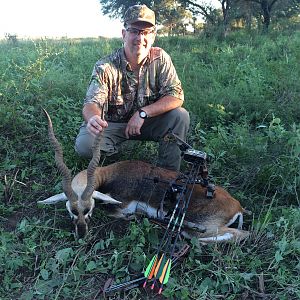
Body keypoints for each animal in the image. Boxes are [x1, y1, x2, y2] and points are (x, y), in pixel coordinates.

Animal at [39, 109, 251, 243]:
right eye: (71, 209)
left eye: (89, 208)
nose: (81, 234)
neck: (111, 174)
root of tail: (237, 206)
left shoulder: (123, 206)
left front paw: (135, 217)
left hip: (199, 226)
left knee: (238, 234)